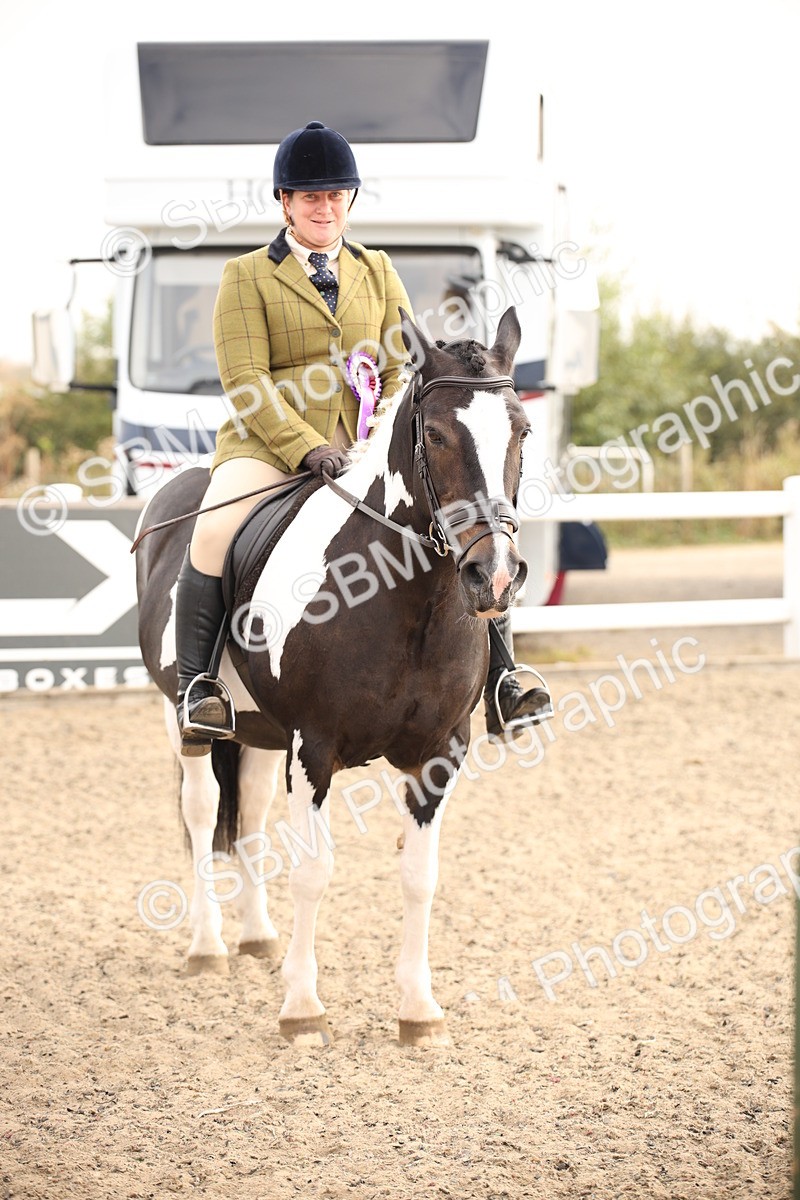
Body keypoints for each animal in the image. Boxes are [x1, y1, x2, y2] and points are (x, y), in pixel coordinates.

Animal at [135, 306, 532, 1047]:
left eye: (521, 430)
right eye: (435, 434)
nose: (492, 576)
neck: (407, 603)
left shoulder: (440, 752)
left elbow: (419, 876)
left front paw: (418, 1011)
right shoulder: (314, 748)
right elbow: (314, 872)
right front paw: (301, 1009)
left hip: (262, 733)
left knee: (249, 809)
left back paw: (258, 938)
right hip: (182, 716)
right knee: (203, 811)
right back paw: (208, 946)